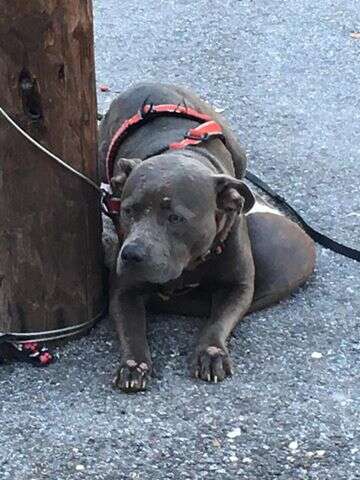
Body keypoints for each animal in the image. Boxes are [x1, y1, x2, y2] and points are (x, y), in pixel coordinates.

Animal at [99, 83, 316, 394]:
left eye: (175, 218)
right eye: (129, 211)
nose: (132, 254)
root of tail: (145, 84)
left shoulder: (238, 285)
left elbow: (218, 321)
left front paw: (211, 353)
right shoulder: (123, 289)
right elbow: (131, 328)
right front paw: (134, 364)